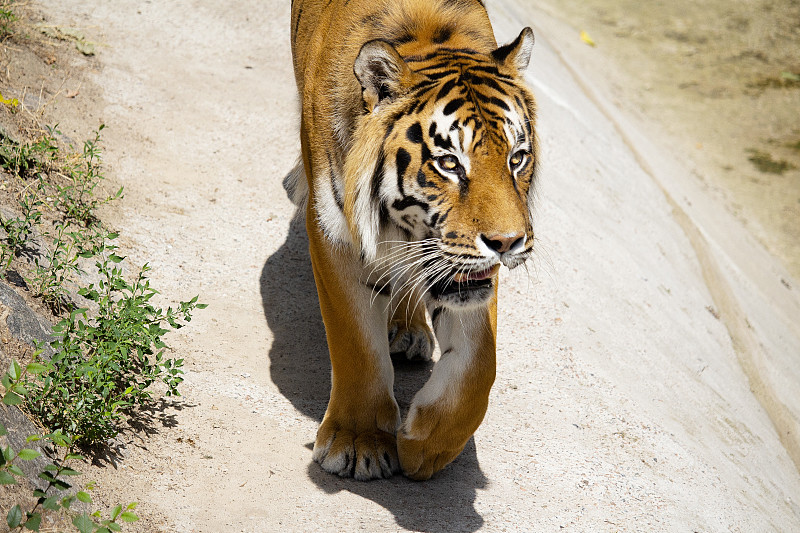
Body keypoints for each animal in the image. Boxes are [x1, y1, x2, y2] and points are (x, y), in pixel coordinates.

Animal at [288, 0, 536, 480]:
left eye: (517, 158)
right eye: (449, 163)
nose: (509, 242)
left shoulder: (472, 272)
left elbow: (480, 363)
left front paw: (427, 444)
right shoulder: (335, 234)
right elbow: (356, 344)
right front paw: (359, 443)